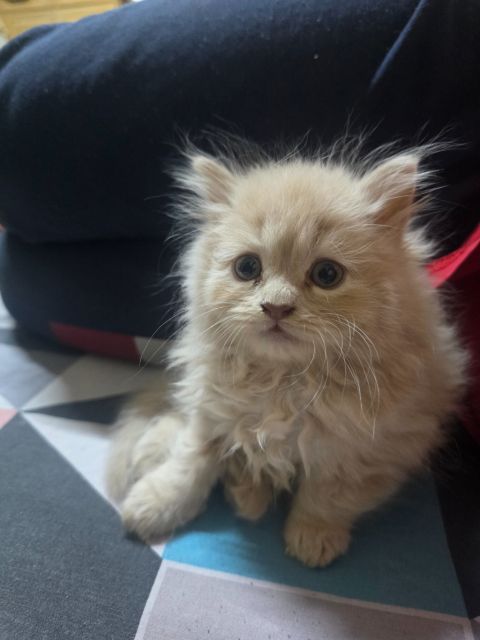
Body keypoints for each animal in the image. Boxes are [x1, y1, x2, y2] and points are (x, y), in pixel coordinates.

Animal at [107, 143, 466, 567]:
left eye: (326, 275)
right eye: (247, 268)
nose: (275, 307)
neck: (282, 382)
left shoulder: (372, 445)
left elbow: (328, 493)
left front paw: (313, 536)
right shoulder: (211, 409)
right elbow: (191, 459)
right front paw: (157, 503)